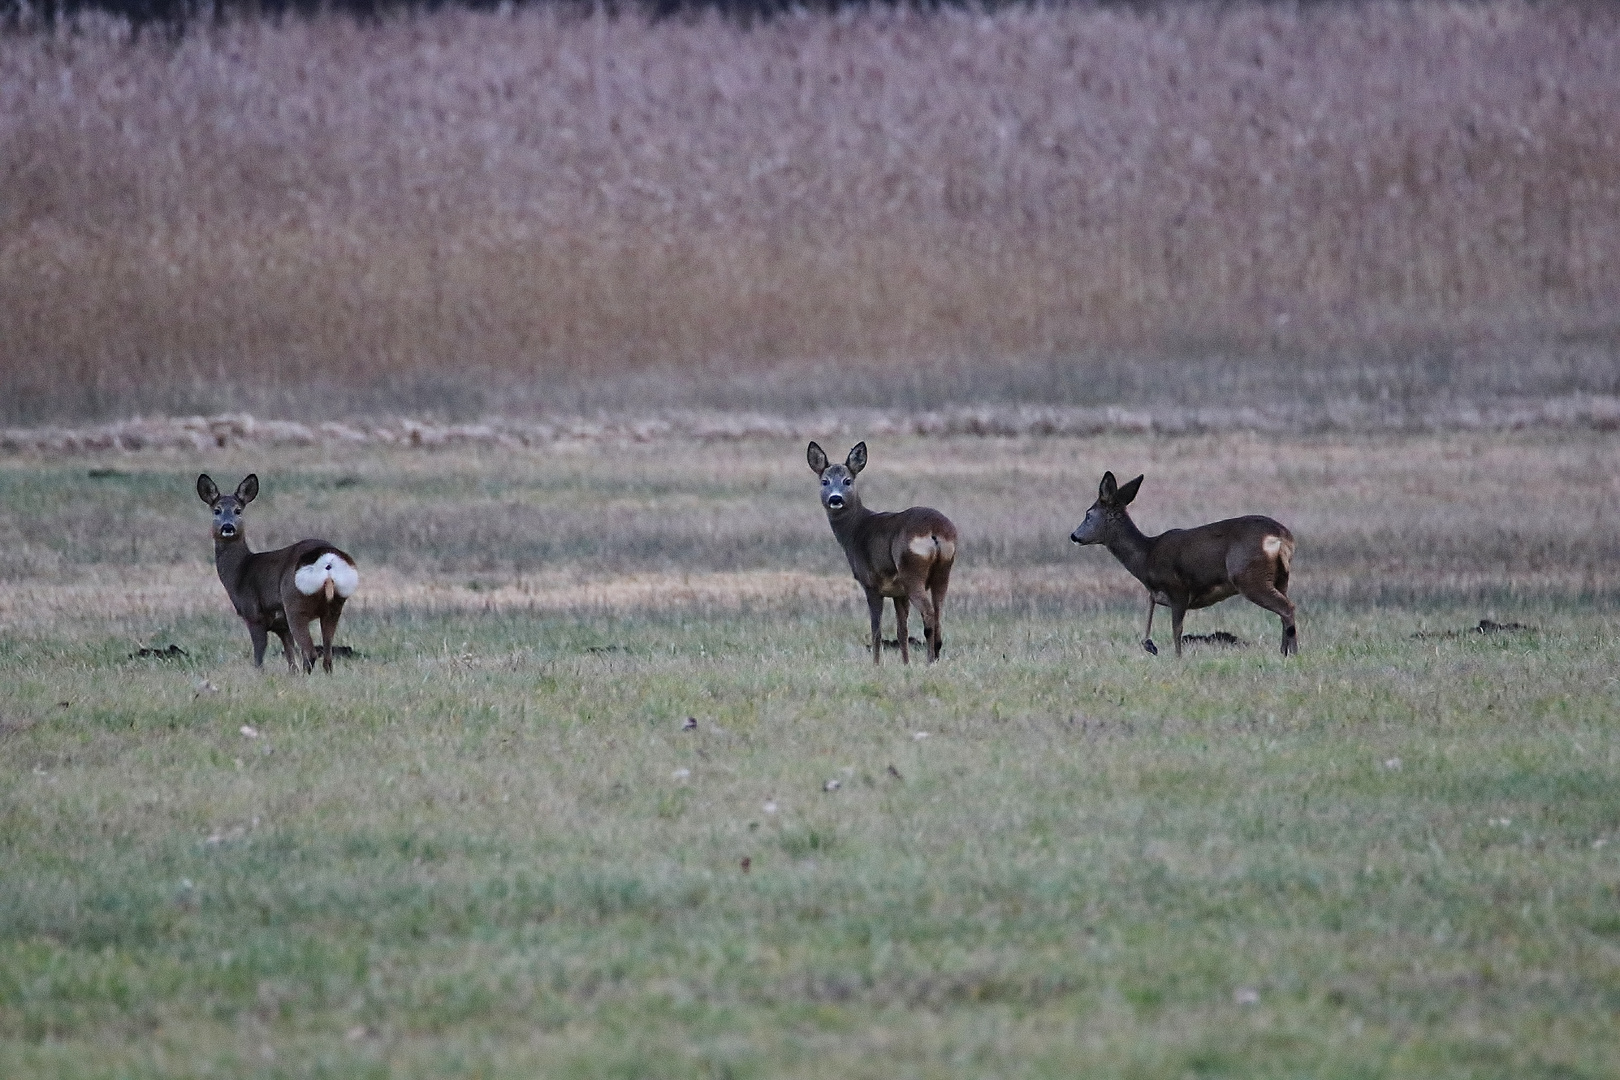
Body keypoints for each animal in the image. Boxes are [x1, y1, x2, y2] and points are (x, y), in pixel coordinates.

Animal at [197, 476, 359, 670]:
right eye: (217, 510)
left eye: (238, 510)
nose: (228, 527)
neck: (241, 571)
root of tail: (328, 559)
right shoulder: (281, 626)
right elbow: (291, 661)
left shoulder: (254, 615)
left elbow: (259, 659)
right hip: (335, 605)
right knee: (327, 657)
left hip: (295, 603)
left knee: (310, 652)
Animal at [806, 440, 952, 663]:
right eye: (825, 481)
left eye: (847, 480)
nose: (835, 498)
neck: (855, 530)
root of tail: (935, 531)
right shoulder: (898, 592)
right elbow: (902, 630)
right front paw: (905, 664)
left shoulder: (871, 583)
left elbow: (876, 630)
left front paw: (876, 664)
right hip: (943, 572)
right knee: (938, 613)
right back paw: (934, 657)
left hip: (911, 572)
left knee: (928, 613)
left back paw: (928, 661)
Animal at [1069, 472, 1296, 660]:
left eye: (1088, 515)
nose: (1074, 536)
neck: (1147, 557)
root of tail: (1282, 537)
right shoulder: (1157, 593)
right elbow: (1150, 617)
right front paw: (1150, 646)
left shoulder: (1177, 588)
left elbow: (1176, 629)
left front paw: (1178, 658)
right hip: (1281, 577)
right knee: (1284, 609)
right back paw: (1285, 651)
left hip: (1249, 576)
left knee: (1287, 608)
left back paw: (1291, 653)